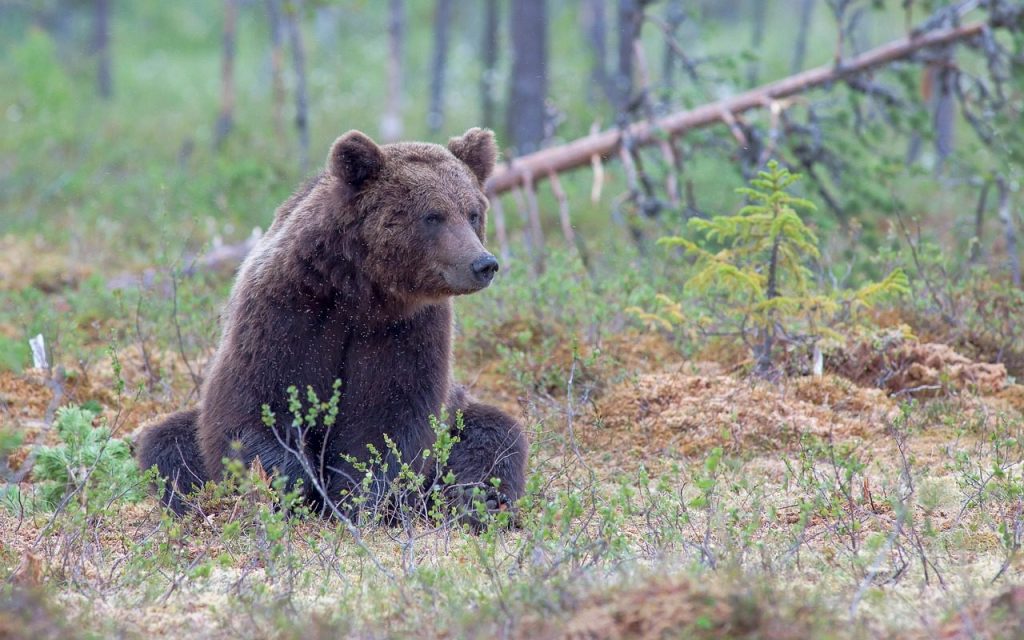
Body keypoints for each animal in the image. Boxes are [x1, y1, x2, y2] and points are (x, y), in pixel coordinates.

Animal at [136, 127, 527, 527]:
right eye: (433, 216)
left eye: (473, 213)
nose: (483, 264)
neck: (360, 290)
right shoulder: (287, 311)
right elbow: (256, 403)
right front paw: (290, 487)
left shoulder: (407, 330)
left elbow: (390, 419)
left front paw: (357, 499)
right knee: (169, 443)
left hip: (460, 407)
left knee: (493, 436)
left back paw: (479, 500)